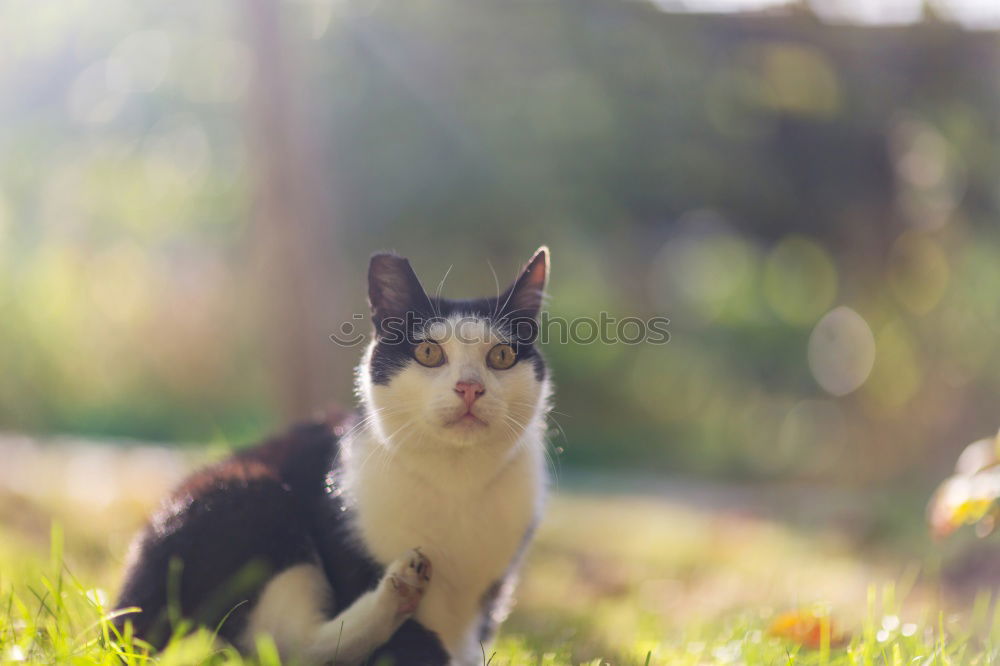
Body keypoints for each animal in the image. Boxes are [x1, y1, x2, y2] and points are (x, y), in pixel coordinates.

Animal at [117, 248, 560, 664]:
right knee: (287, 645)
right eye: (429, 353)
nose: (470, 387)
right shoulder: (341, 530)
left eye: (501, 356)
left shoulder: (493, 589)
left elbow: (471, 647)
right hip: (244, 494)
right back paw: (398, 592)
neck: (456, 479)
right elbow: (407, 645)